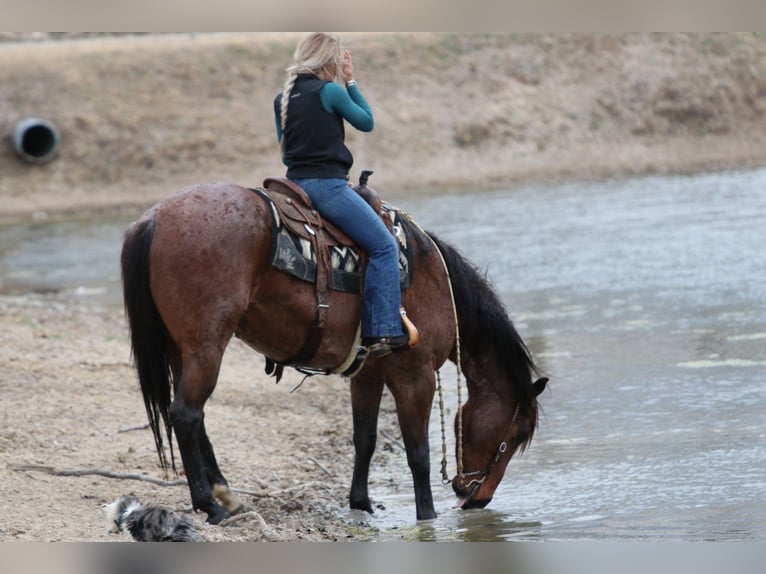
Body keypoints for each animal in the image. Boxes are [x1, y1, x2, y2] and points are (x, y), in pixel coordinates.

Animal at [120, 180, 547, 524]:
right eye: (517, 434)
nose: (478, 498)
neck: (433, 279)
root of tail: (153, 219)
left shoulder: (369, 375)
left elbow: (365, 439)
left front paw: (361, 502)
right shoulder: (416, 376)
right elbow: (417, 452)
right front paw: (427, 515)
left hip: (179, 349)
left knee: (192, 417)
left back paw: (226, 495)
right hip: (206, 345)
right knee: (186, 415)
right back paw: (209, 505)